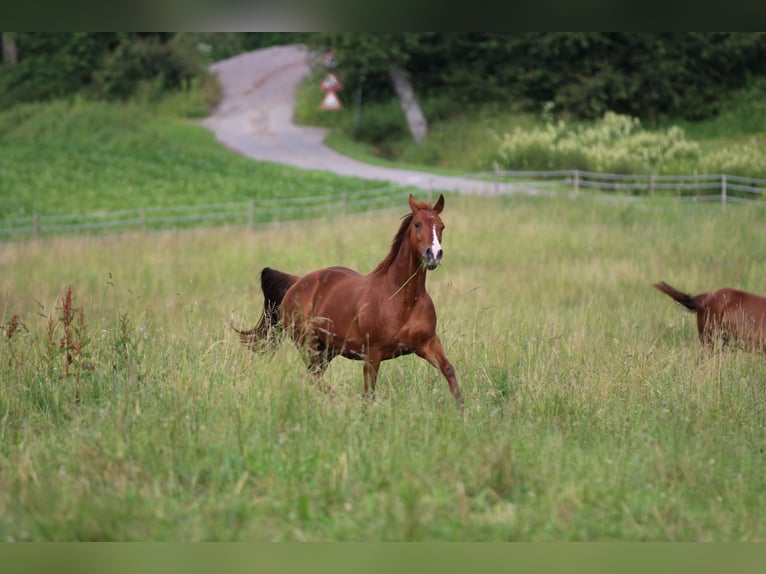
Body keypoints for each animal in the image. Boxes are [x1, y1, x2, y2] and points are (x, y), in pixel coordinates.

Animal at [237, 196, 462, 408]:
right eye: (417, 224)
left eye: (441, 226)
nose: (434, 254)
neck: (402, 300)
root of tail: (296, 282)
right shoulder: (372, 354)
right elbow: (369, 394)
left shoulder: (427, 343)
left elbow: (449, 370)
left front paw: (462, 412)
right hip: (307, 344)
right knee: (314, 377)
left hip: (327, 350)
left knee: (312, 378)